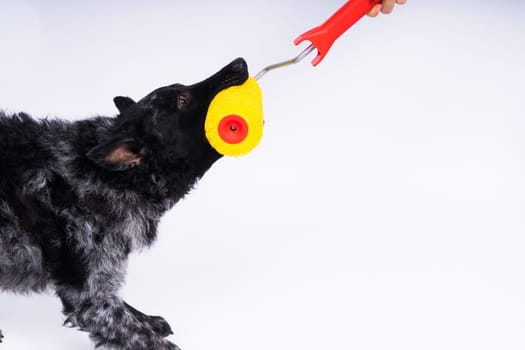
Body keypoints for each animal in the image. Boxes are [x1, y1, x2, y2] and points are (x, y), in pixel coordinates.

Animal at [0, 58, 249, 350]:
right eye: (182, 100)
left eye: (181, 91)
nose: (239, 63)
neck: (111, 177)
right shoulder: (90, 300)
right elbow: (140, 334)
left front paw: (146, 319)